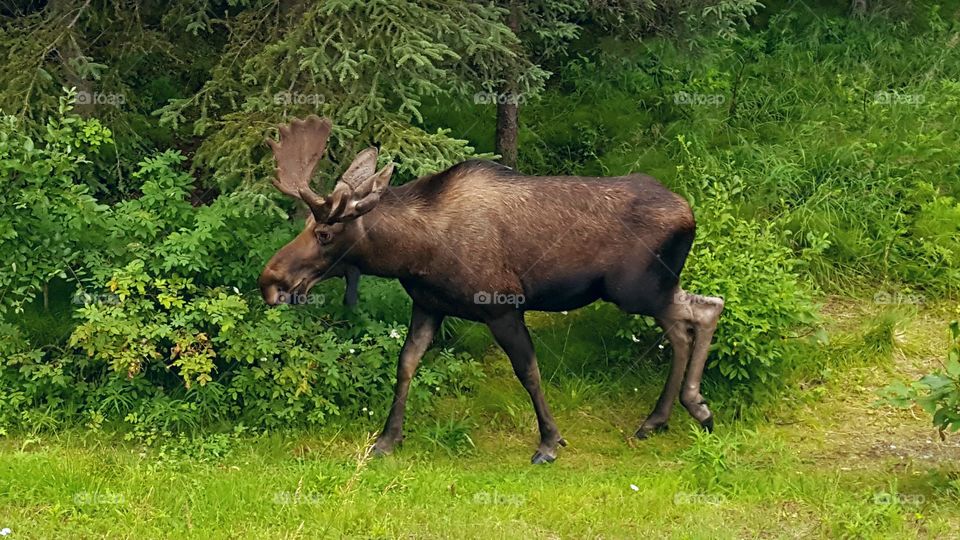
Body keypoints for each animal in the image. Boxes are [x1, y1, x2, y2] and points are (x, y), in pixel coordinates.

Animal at [259, 116, 724, 464]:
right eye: (305, 224)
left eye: (323, 233)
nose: (270, 281)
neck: (414, 254)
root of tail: (689, 213)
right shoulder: (428, 305)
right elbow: (406, 364)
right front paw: (387, 439)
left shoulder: (502, 306)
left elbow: (529, 371)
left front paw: (549, 442)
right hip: (650, 291)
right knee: (686, 325)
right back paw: (660, 419)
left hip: (638, 289)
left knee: (705, 310)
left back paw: (695, 407)